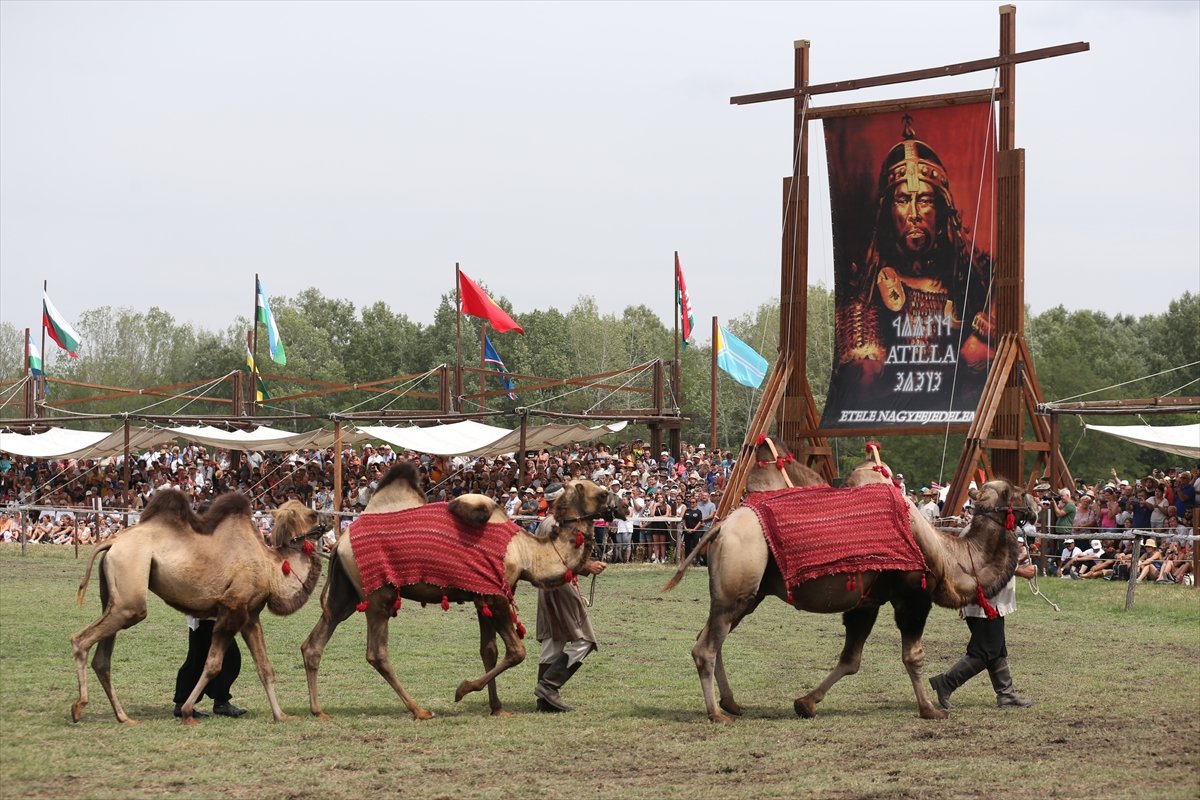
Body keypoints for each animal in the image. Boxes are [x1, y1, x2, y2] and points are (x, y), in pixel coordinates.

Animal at [70, 494, 324, 724]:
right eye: (312, 514)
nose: (324, 524)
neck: (272, 568)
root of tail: (111, 542)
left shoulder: (250, 615)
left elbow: (265, 668)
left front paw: (282, 716)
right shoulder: (233, 607)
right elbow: (212, 665)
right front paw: (187, 712)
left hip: (113, 598)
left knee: (102, 659)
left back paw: (123, 717)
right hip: (131, 585)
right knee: (81, 639)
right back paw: (79, 706)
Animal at [300, 462, 628, 719]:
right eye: (600, 492)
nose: (624, 506)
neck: (526, 553)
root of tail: (340, 542)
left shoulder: (482, 594)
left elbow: (489, 651)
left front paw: (497, 708)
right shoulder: (496, 596)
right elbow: (516, 651)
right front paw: (462, 690)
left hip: (346, 593)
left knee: (315, 642)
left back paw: (318, 710)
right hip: (380, 593)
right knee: (376, 652)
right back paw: (420, 710)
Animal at [662, 438, 1036, 724]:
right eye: (1016, 491)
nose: (1033, 505)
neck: (951, 555)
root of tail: (720, 526)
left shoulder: (866, 602)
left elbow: (850, 660)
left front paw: (806, 703)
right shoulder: (912, 597)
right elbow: (913, 656)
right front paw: (930, 709)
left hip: (745, 596)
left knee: (710, 638)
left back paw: (731, 704)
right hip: (737, 587)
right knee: (706, 647)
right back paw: (716, 714)